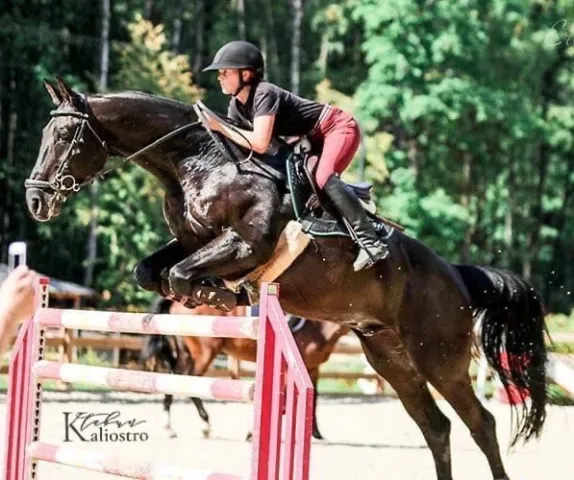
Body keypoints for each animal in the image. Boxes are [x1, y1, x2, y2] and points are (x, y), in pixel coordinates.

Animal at [140, 298, 348, 440]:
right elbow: (284, 400)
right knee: (190, 382)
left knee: (173, 381)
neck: (320, 326)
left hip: (186, 354)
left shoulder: (312, 368)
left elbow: (314, 396)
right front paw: (252, 432)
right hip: (204, 354)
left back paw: (169, 427)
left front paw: (316, 433)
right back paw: (205, 425)